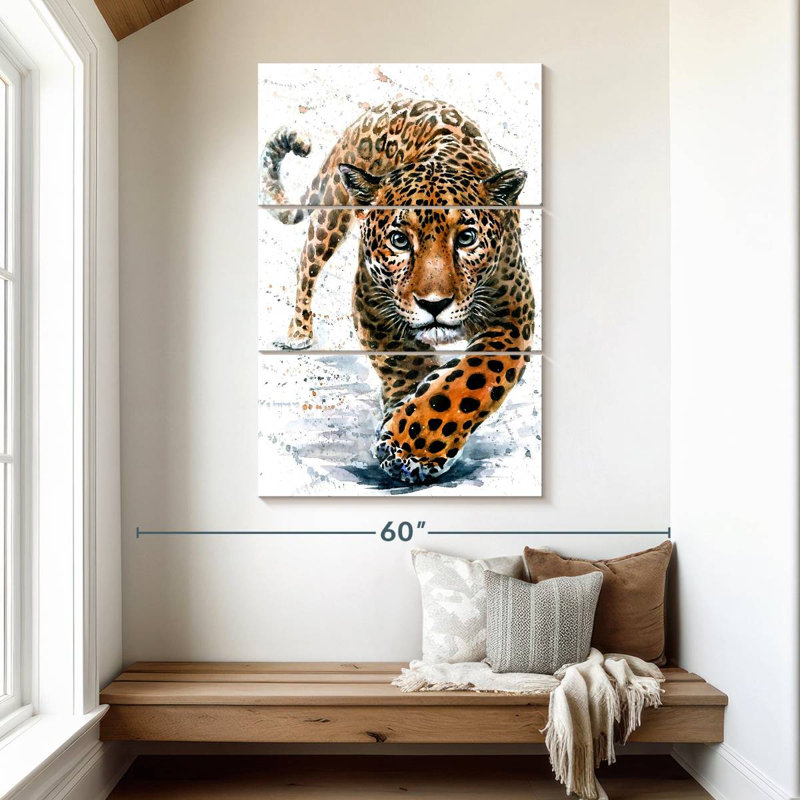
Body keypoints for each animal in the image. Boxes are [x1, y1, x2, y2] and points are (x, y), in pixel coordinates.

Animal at [261, 98, 534, 485]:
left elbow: (471, 380)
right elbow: (407, 365)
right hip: (331, 213)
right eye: (399, 240)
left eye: (466, 238)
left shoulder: (514, 315)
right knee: (306, 264)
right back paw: (299, 332)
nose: (434, 304)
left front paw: (412, 446)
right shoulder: (372, 305)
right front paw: (407, 439)